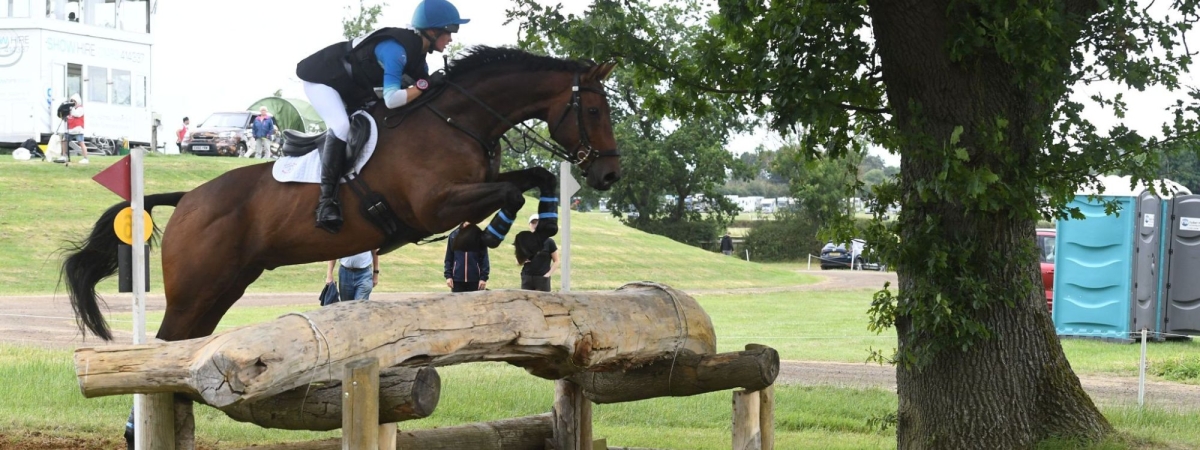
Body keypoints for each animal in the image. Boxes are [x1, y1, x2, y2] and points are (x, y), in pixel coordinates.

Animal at [58, 45, 619, 343]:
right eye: (593, 111)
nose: (609, 176)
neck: (458, 119)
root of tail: (189, 199)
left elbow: (537, 178)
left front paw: (531, 236)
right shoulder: (436, 205)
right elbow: (512, 192)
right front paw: (507, 238)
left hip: (223, 288)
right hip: (196, 290)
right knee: (166, 345)